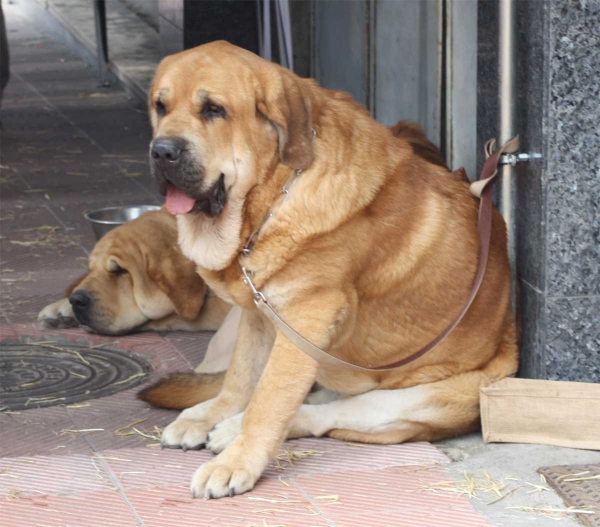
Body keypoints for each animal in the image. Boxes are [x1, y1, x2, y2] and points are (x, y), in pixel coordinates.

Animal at [143, 41, 516, 500]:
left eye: (214, 109)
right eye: (160, 106)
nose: (162, 151)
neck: (275, 193)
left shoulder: (307, 315)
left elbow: (270, 399)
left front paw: (235, 462)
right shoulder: (262, 315)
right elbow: (242, 377)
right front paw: (216, 414)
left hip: (426, 399)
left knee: (326, 414)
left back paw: (233, 433)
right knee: (318, 398)